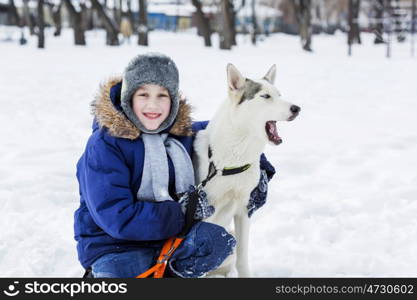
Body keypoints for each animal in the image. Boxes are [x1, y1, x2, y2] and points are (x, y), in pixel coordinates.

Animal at [192, 63, 300, 276]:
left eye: (279, 94)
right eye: (265, 96)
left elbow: (243, 259)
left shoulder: (243, 209)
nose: (297, 108)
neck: (234, 158)